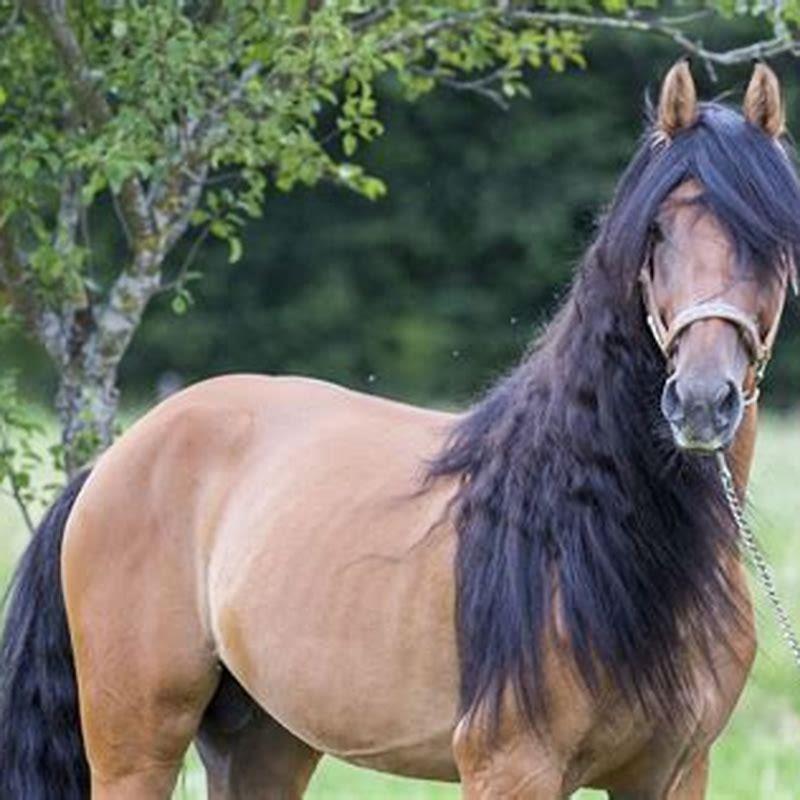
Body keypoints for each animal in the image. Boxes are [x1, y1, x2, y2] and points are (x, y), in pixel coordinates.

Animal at [2, 59, 800, 800]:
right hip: (136, 747)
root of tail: (117, 459)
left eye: (772, 240)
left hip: (261, 741)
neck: (590, 527)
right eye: (657, 231)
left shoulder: (673, 773)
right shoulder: (513, 767)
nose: (701, 403)